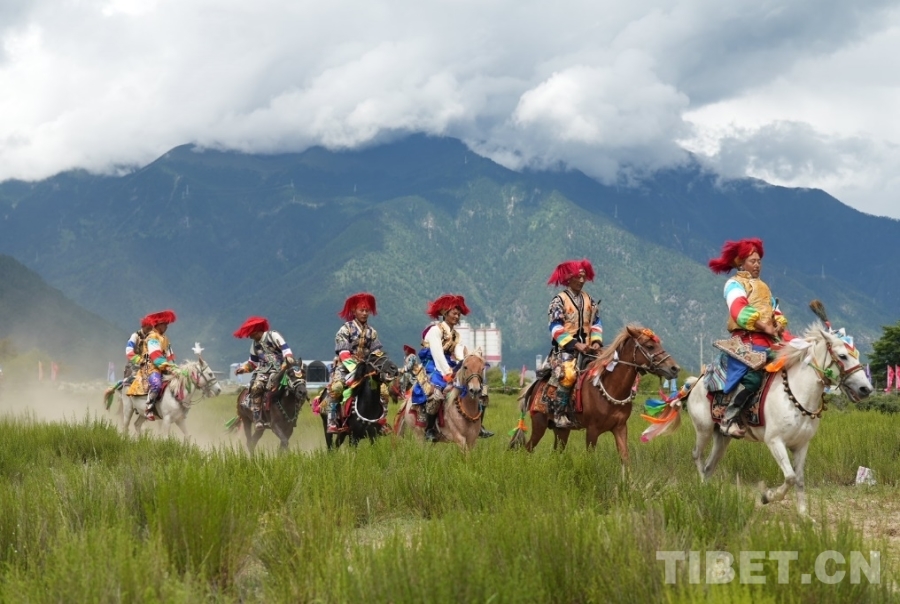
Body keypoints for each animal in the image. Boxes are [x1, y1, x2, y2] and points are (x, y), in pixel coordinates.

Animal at [511, 325, 680, 462]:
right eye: (650, 346)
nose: (675, 368)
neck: (612, 389)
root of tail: (536, 383)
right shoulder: (592, 430)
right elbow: (590, 458)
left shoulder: (620, 428)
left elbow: (625, 458)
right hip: (539, 424)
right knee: (528, 448)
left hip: (562, 430)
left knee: (556, 452)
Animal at [681, 324, 872, 515]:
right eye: (843, 356)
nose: (866, 389)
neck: (798, 395)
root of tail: (696, 382)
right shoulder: (775, 441)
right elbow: (790, 477)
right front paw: (767, 496)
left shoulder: (801, 445)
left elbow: (799, 479)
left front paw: (803, 514)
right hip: (703, 429)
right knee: (697, 455)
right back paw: (701, 489)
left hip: (722, 437)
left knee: (710, 466)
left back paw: (708, 492)